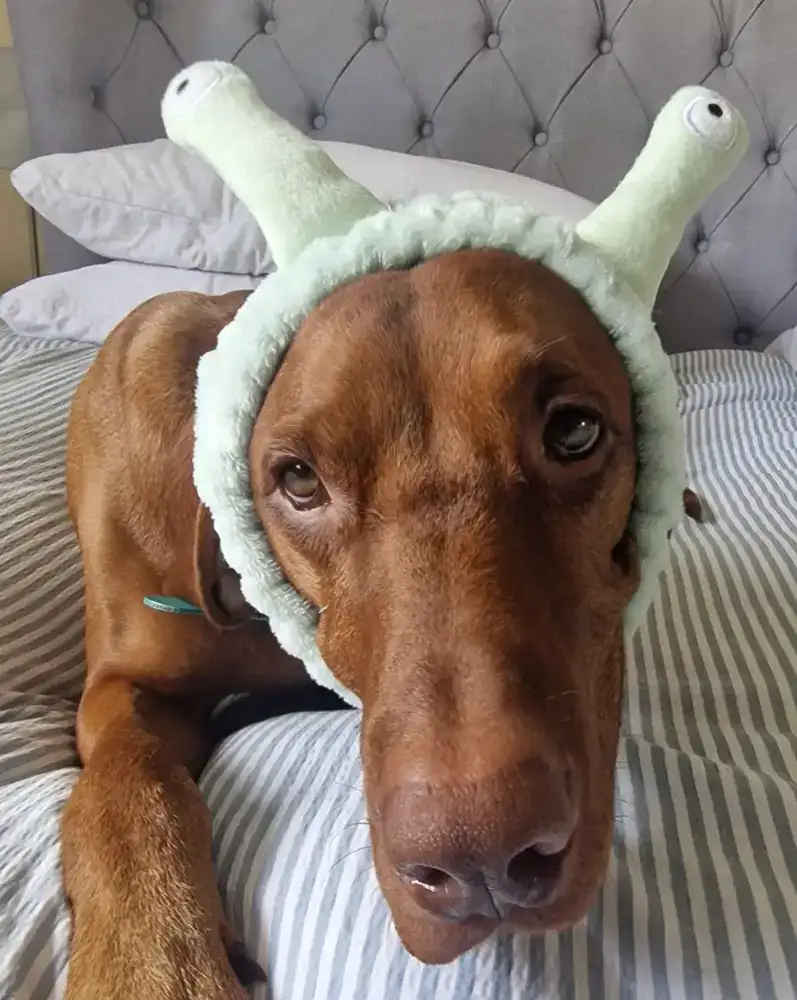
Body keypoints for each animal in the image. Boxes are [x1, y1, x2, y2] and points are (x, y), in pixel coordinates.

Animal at [63, 246, 696, 996]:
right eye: (299, 479)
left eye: (574, 431)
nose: (481, 858)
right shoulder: (118, 687)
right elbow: (129, 784)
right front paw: (154, 963)